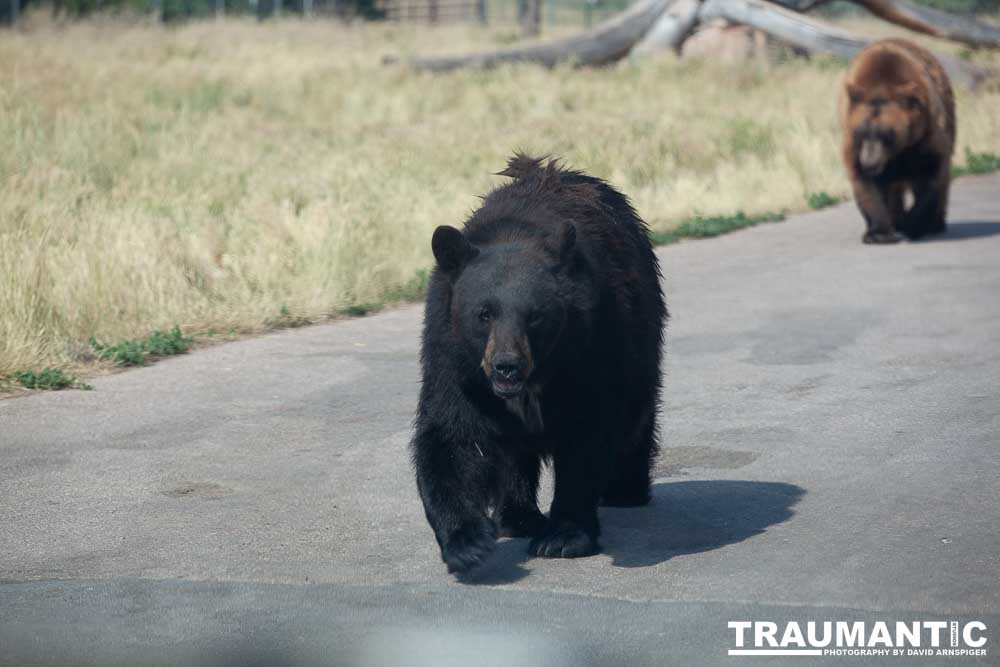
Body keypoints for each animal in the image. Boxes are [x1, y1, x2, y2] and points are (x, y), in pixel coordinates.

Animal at [412, 155, 668, 574]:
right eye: (484, 313)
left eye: (535, 315)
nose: (507, 366)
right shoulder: (455, 360)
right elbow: (453, 436)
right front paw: (468, 542)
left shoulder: (590, 346)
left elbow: (587, 433)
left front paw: (563, 537)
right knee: (515, 454)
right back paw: (517, 516)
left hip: (642, 332)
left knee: (636, 414)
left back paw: (625, 489)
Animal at [839, 38, 955, 244]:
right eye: (860, 132)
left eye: (887, 134)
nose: (869, 162)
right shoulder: (853, 142)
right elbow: (866, 184)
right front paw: (878, 233)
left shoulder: (926, 134)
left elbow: (930, 174)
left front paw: (913, 224)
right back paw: (896, 219)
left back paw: (935, 223)